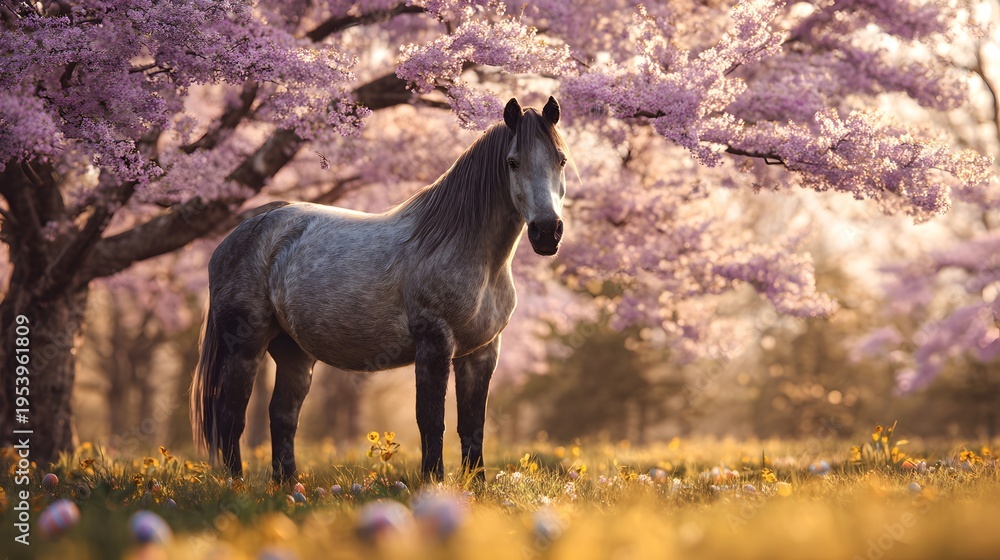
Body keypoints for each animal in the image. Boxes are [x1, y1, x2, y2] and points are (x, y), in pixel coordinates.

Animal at [190, 96, 569, 482]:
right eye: (512, 162)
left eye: (561, 160)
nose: (546, 231)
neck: (461, 246)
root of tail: (240, 232)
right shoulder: (434, 344)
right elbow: (431, 420)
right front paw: (434, 482)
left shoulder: (482, 353)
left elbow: (473, 425)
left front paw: (475, 485)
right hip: (245, 348)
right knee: (231, 416)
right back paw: (235, 483)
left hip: (293, 352)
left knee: (283, 416)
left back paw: (288, 485)